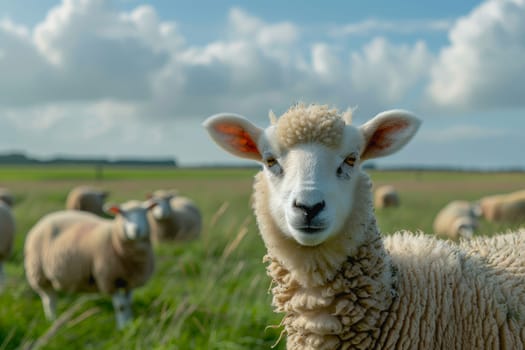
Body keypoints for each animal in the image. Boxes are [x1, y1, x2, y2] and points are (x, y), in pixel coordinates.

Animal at [23, 201, 158, 326]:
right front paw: (122, 328)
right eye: (122, 214)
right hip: (39, 274)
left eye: (146, 211)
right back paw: (52, 320)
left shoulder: (129, 282)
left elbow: (128, 304)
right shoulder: (109, 279)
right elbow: (121, 306)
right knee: (49, 300)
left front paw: (129, 323)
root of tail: (46, 218)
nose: (136, 230)